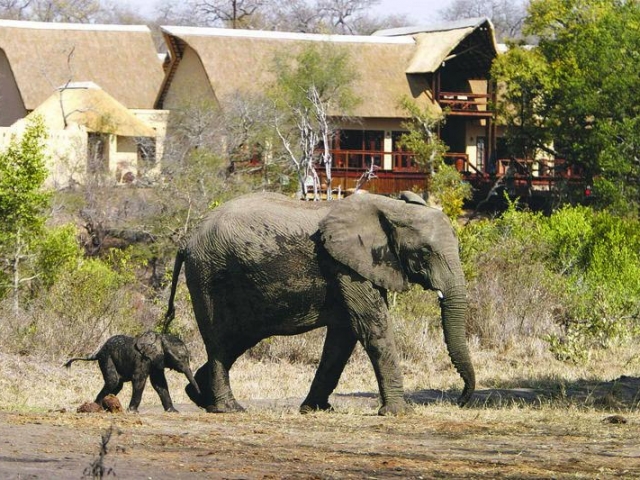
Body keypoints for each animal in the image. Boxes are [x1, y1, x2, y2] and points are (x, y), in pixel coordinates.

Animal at [65, 330, 199, 412]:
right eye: (179, 358)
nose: (199, 394)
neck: (160, 338)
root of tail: (97, 352)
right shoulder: (142, 359)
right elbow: (139, 380)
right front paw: (133, 411)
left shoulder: (156, 359)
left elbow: (159, 383)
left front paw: (173, 411)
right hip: (106, 357)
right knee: (113, 381)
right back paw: (97, 407)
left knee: (117, 385)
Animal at [165, 191, 476, 416]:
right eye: (424, 252)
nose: (460, 400)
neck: (390, 207)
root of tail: (186, 241)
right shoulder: (345, 265)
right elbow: (372, 327)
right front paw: (399, 413)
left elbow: (343, 337)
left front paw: (316, 409)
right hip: (209, 276)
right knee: (220, 341)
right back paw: (228, 409)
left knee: (235, 341)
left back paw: (201, 398)